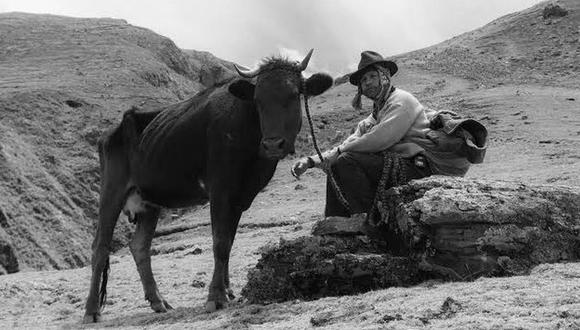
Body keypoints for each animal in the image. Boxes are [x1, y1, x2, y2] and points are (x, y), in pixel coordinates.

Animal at [83, 49, 334, 322]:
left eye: (294, 94)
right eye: (258, 100)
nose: (273, 144)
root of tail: (115, 129)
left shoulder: (241, 196)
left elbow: (229, 241)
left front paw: (228, 291)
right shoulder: (220, 189)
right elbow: (220, 242)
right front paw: (216, 297)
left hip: (149, 200)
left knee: (139, 246)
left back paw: (159, 301)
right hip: (112, 192)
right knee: (100, 247)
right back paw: (91, 311)